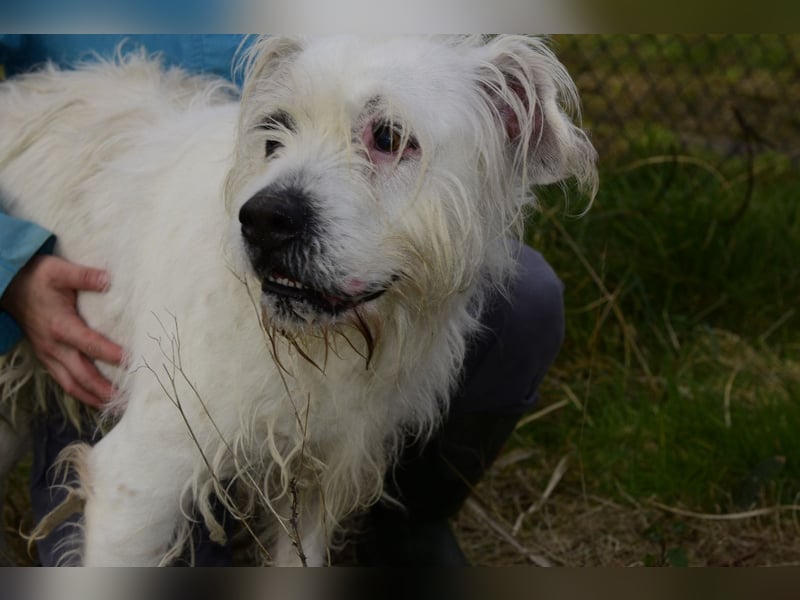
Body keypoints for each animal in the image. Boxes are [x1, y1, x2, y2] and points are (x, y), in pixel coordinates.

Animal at [0, 35, 596, 566]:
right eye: (274, 133)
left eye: (389, 136)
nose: (262, 221)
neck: (315, 351)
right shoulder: (136, 483)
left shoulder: (318, 480)